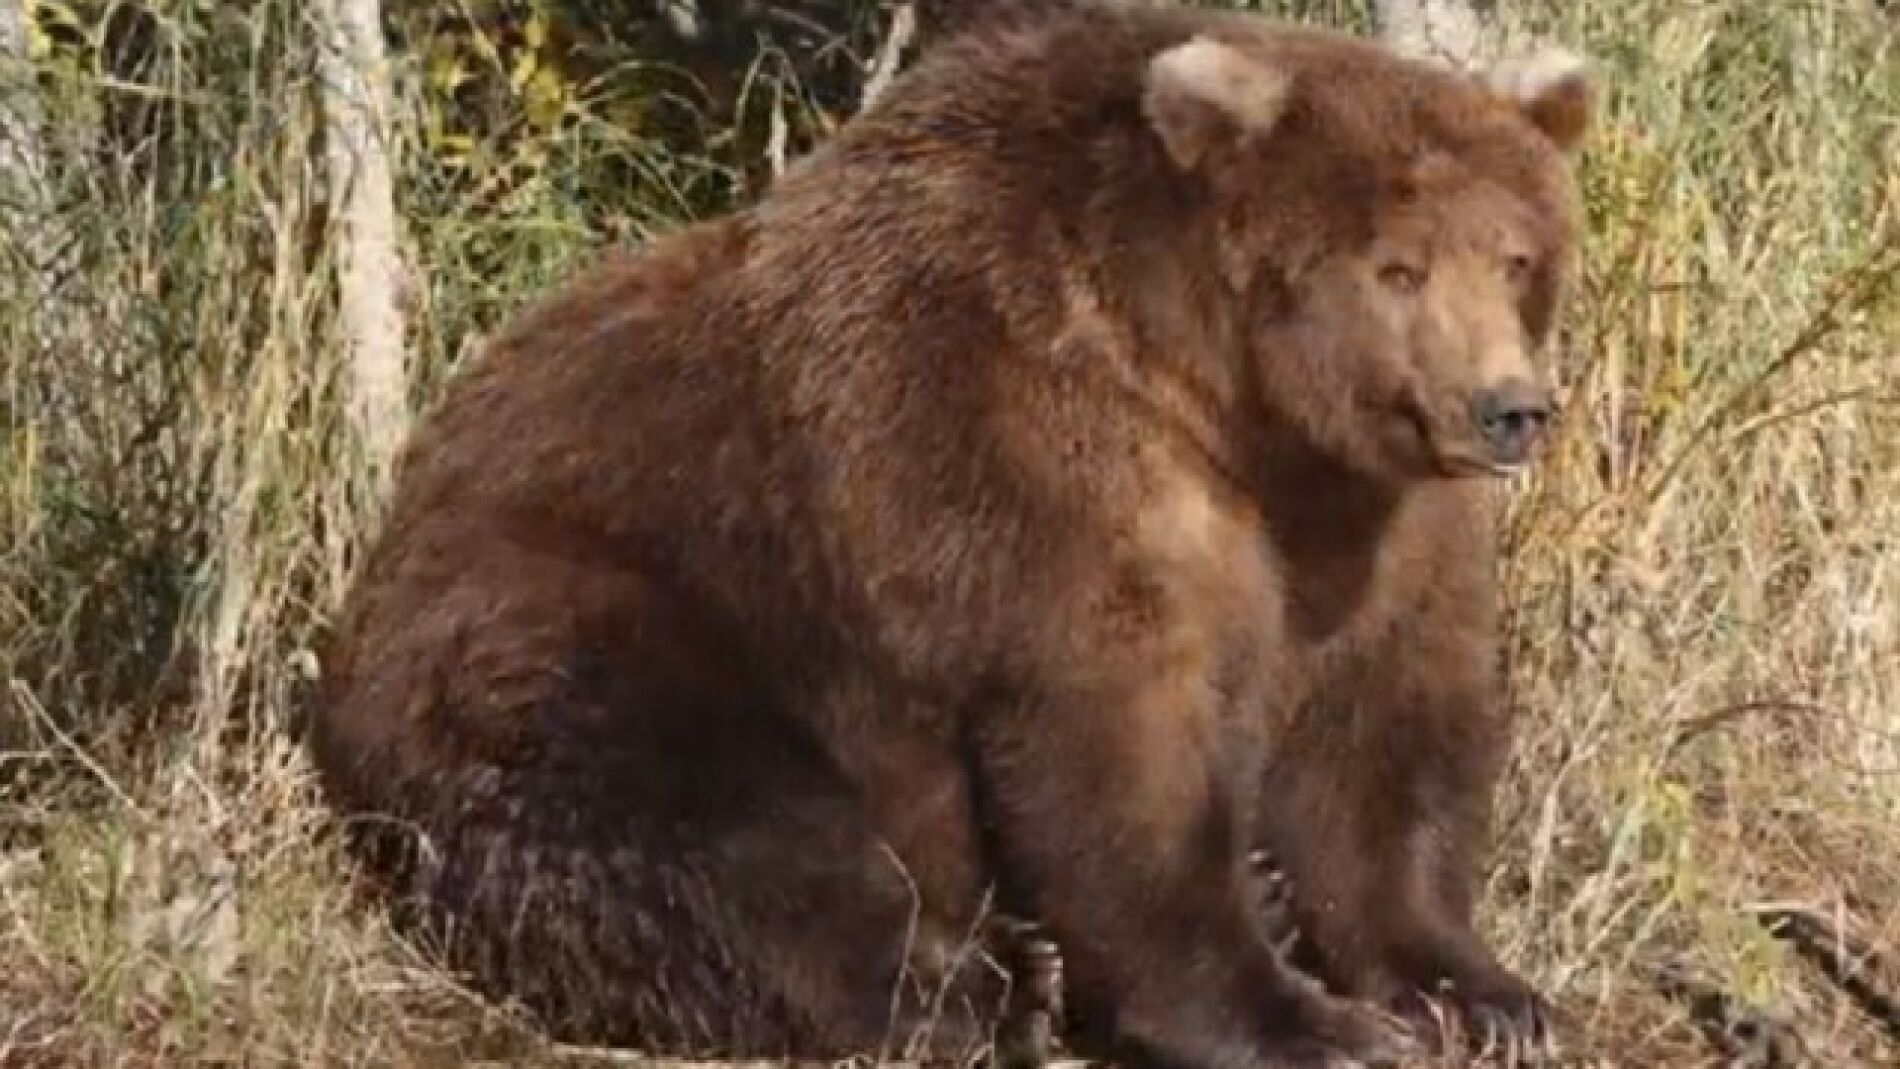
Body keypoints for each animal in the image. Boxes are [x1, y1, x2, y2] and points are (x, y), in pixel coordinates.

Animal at [308, 4, 1593, 1068]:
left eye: (1516, 254)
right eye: (1397, 266)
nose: (1508, 408)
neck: (1230, 406)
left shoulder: (1371, 525)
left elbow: (1379, 735)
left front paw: (1477, 989)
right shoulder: (1024, 455)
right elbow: (1120, 754)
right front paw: (1306, 1020)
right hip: (599, 608)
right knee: (711, 833)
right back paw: (981, 992)